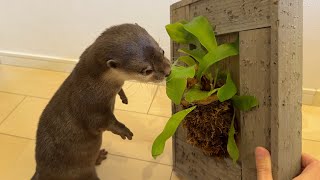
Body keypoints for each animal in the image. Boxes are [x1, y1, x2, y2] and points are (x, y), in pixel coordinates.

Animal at [31, 24, 172, 180]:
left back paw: (98, 157)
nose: (168, 72)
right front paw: (124, 131)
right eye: (147, 70)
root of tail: (41, 170)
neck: (95, 84)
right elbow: (102, 122)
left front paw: (123, 97)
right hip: (81, 172)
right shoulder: (89, 105)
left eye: (162, 51)